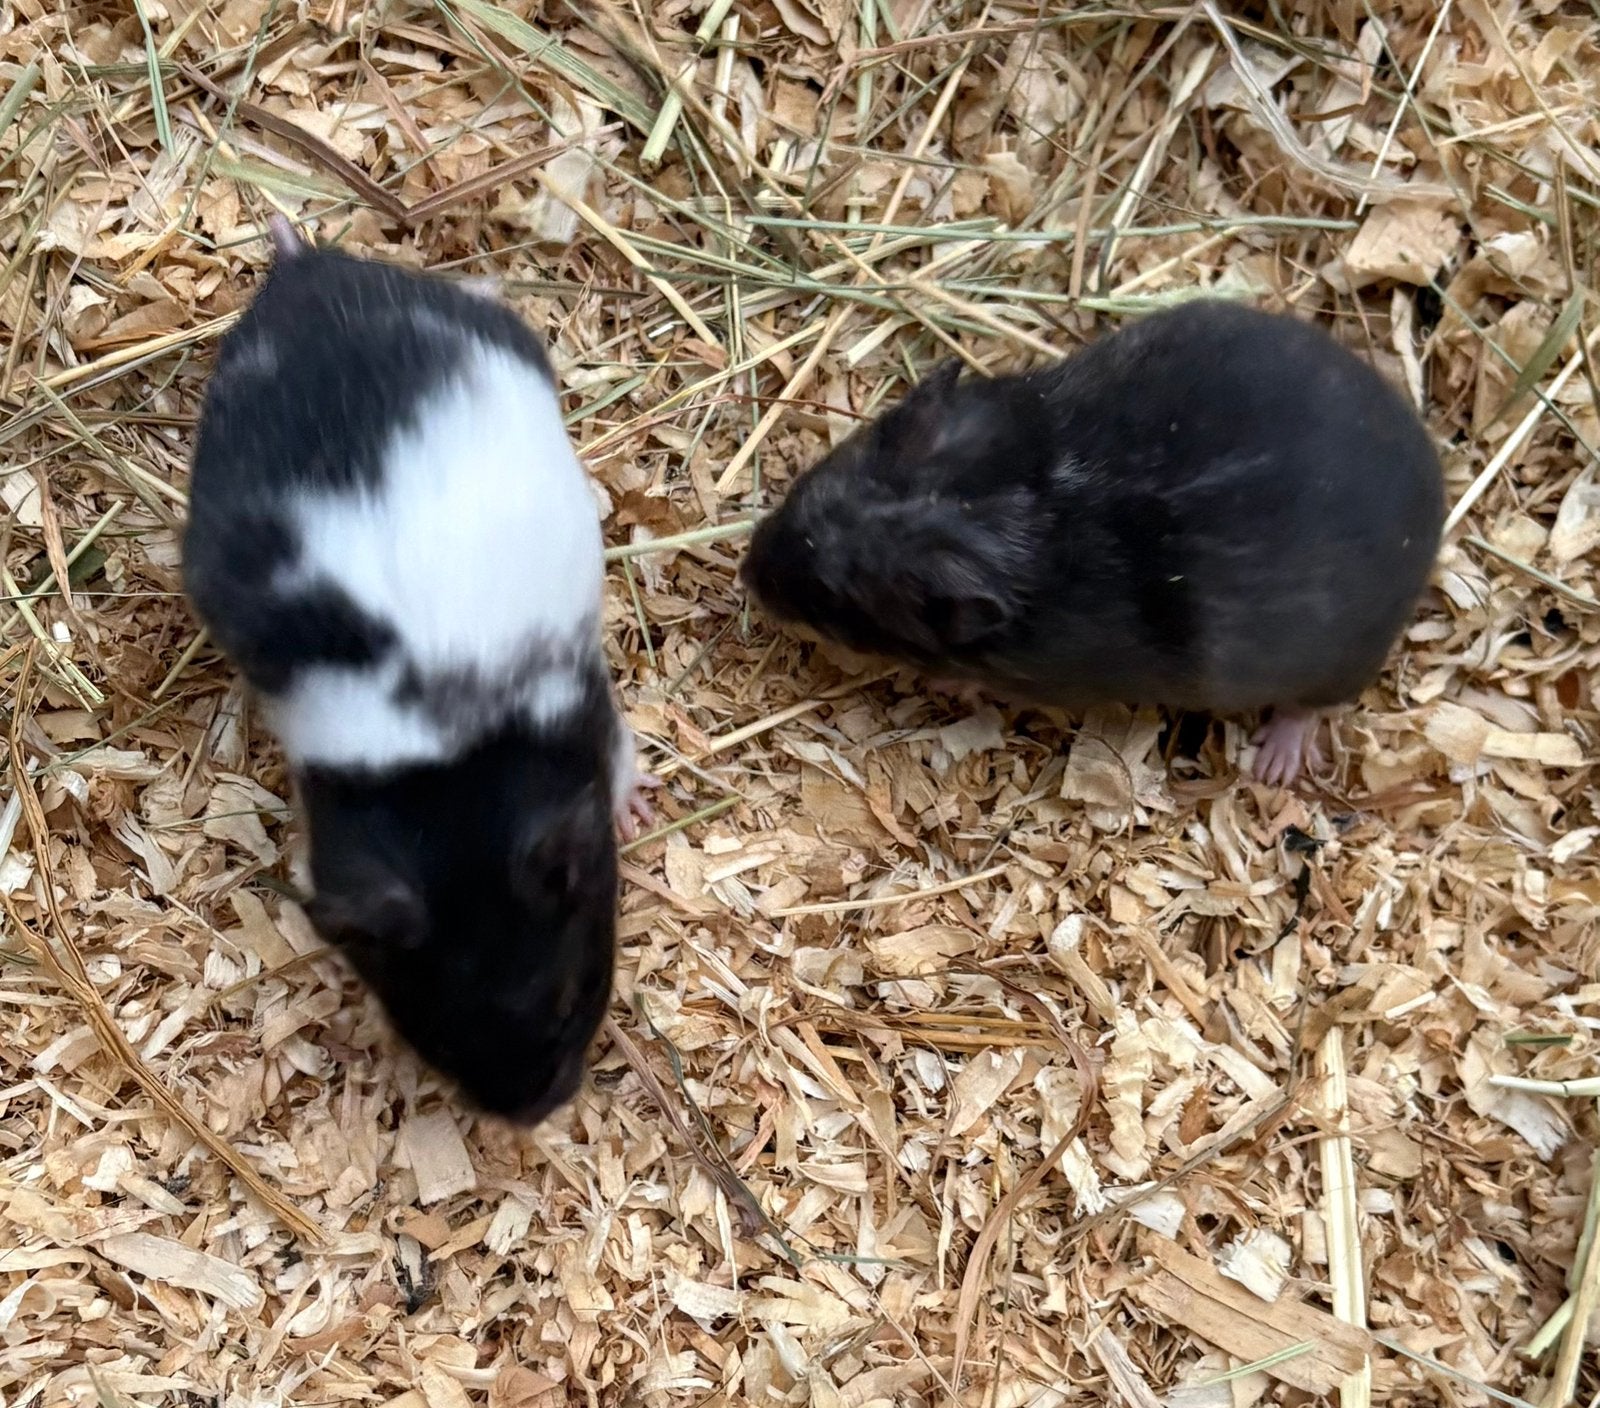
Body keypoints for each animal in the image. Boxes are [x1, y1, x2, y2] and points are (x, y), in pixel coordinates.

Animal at [183, 216, 655, 1123]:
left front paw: (637, 815)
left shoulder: (591, 710)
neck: (450, 776)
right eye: (435, 1033)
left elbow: (621, 763)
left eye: (572, 997)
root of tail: (309, 273)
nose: (535, 1116)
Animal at [741, 299, 1445, 785]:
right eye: (811, 487)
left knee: (1312, 710)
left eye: (835, 597)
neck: (1025, 503)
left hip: (1339, 660)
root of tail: (1431, 476)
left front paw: (946, 683)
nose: (746, 573)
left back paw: (1273, 763)